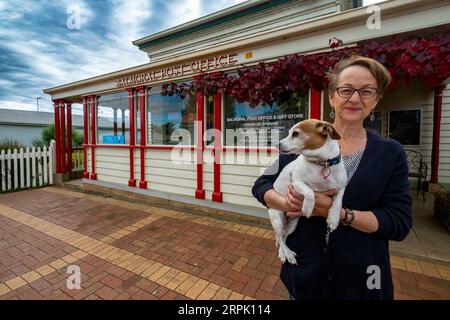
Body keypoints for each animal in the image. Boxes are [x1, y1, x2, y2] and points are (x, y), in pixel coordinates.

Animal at [268, 119, 348, 264]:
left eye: (295, 133)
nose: (277, 144)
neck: (323, 163)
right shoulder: (296, 182)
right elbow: (310, 192)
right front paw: (308, 207)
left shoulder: (341, 187)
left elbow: (338, 201)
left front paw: (333, 219)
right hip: (277, 219)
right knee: (280, 238)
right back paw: (288, 254)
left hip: (292, 224)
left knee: (283, 237)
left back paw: (284, 253)